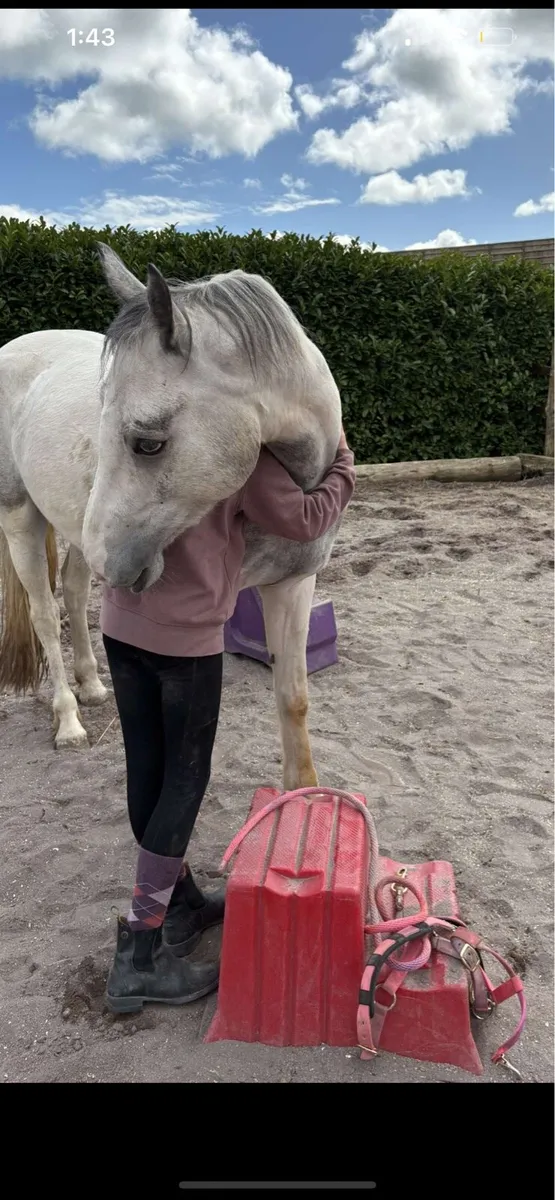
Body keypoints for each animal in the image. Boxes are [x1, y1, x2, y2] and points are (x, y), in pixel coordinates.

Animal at [0, 244, 343, 790]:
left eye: (147, 444)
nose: (114, 566)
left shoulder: (293, 585)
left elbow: (294, 698)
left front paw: (304, 796)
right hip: (23, 520)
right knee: (45, 615)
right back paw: (68, 718)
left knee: (73, 592)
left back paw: (91, 685)